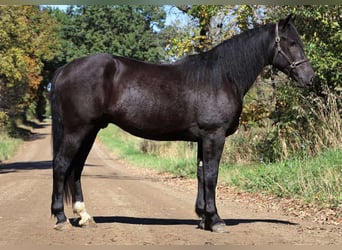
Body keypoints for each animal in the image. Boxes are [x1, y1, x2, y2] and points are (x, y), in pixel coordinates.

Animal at [50, 14, 316, 231]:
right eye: (291, 43)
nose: (310, 78)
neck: (222, 76)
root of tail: (65, 69)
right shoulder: (214, 135)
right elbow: (212, 174)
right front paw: (215, 220)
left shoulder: (202, 138)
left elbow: (201, 174)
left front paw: (203, 217)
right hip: (77, 130)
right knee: (62, 165)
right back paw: (61, 218)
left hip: (91, 130)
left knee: (76, 168)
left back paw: (84, 216)